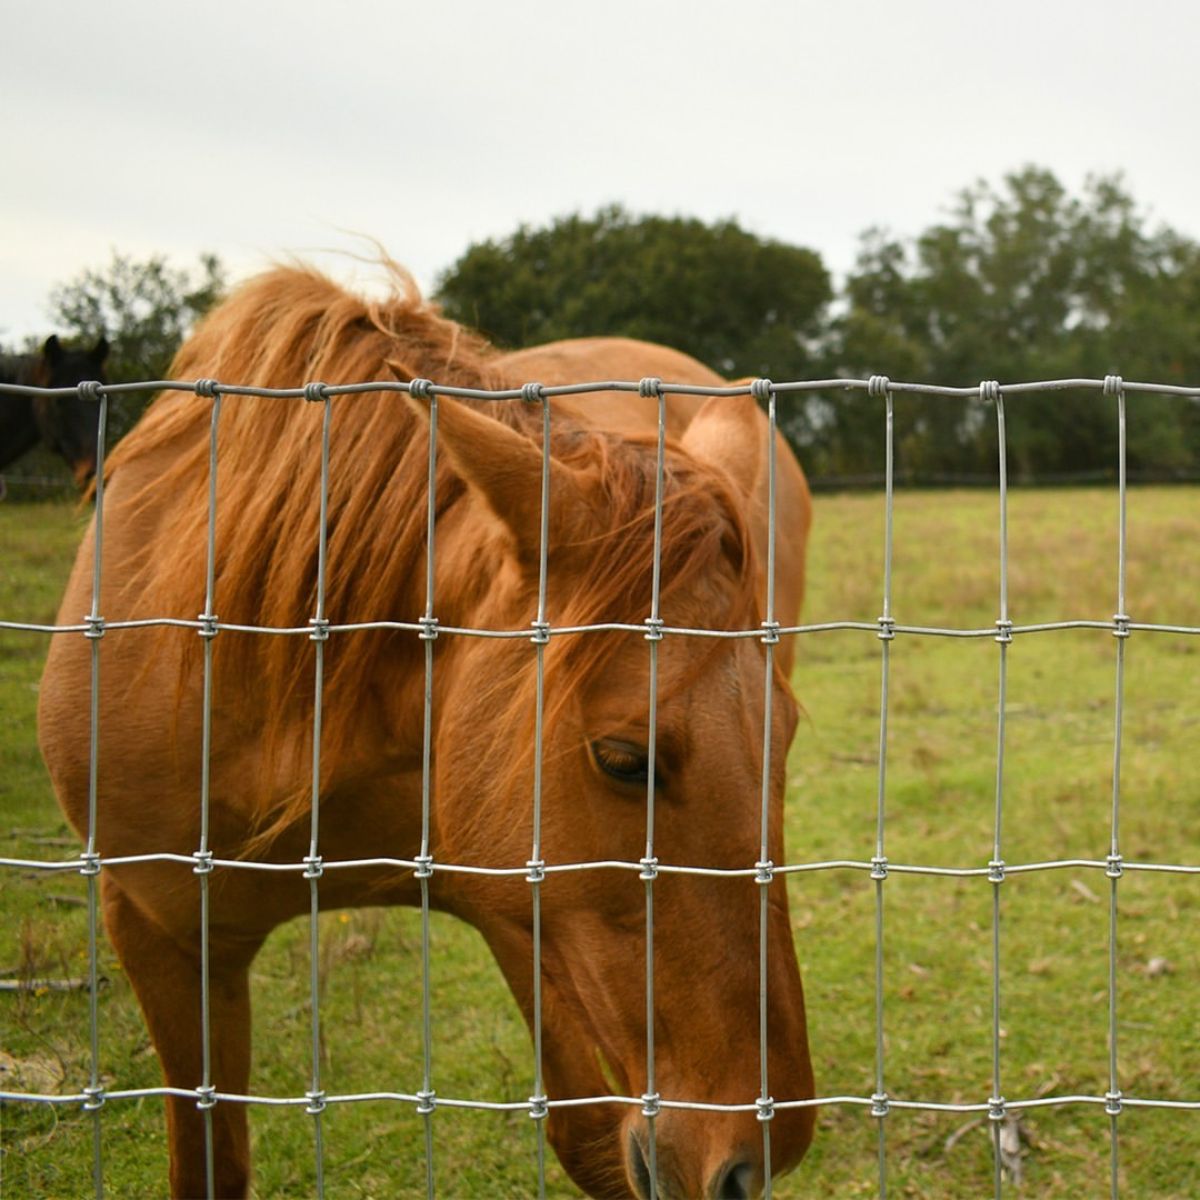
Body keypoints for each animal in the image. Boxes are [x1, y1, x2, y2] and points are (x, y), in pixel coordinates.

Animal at [37, 265, 816, 1200]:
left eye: (785, 741)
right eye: (624, 760)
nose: (764, 1150)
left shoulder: (521, 906)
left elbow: (589, 1140)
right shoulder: (158, 931)